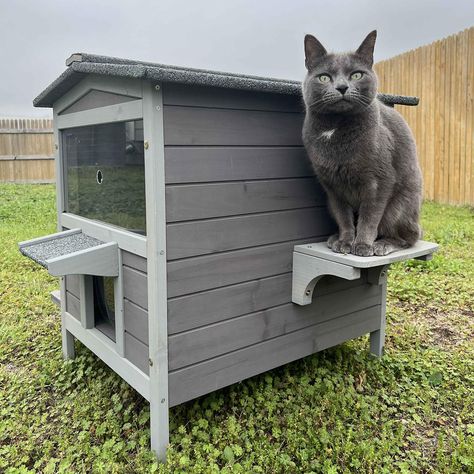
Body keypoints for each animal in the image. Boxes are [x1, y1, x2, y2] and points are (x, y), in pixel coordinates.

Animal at [302, 30, 420, 256]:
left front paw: (363, 245)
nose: (341, 87)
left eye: (356, 75)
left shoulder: (379, 181)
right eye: (324, 77)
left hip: (399, 207)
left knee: (408, 237)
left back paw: (382, 245)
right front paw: (345, 241)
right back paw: (334, 238)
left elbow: (369, 216)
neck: (336, 127)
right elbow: (344, 216)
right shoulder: (332, 187)